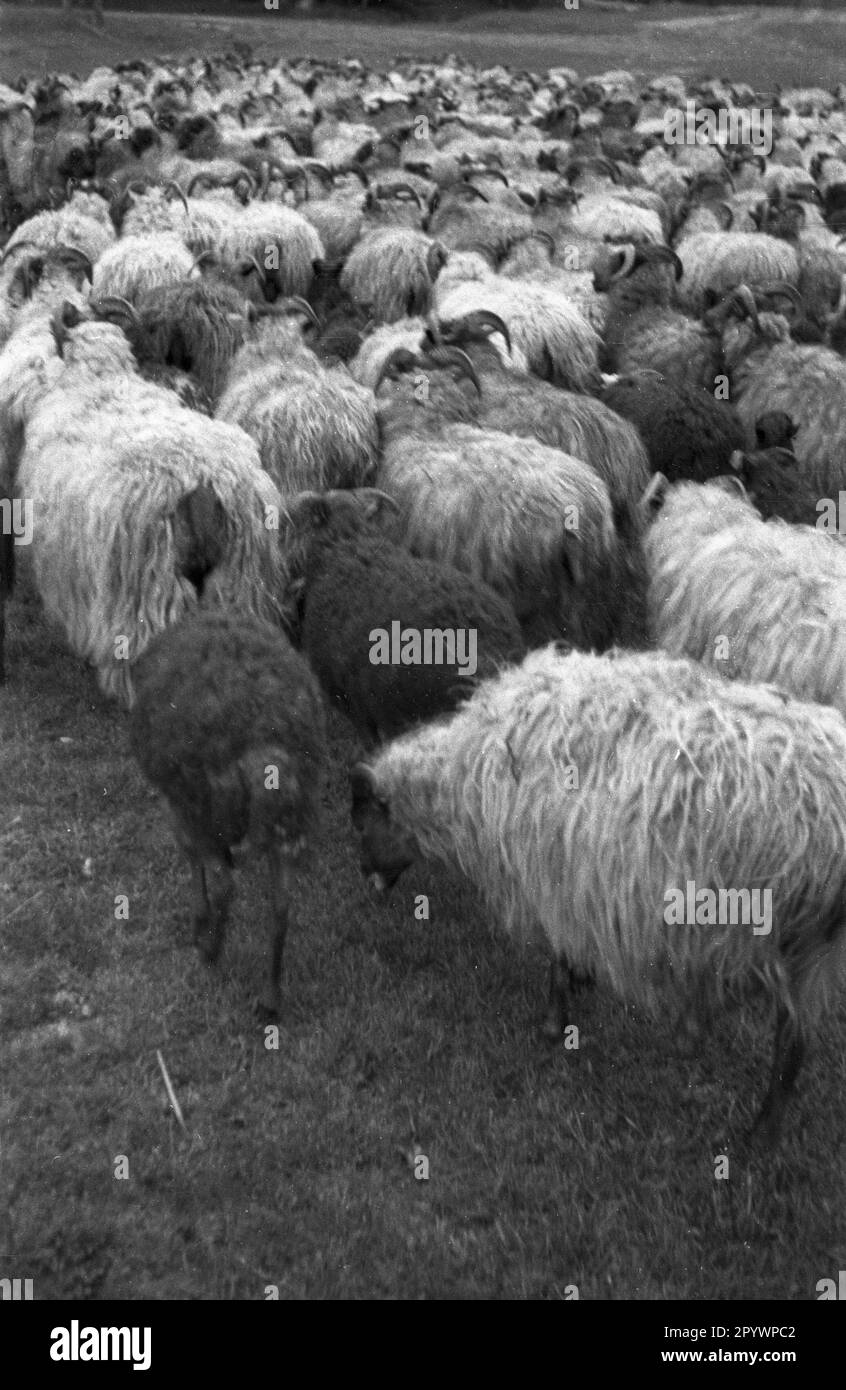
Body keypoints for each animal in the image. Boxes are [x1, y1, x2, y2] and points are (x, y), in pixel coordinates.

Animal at [130, 614, 325, 1017]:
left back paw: (210, 950)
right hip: (288, 827)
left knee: (224, 882)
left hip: (207, 810)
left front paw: (198, 923)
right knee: (281, 906)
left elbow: (192, 861)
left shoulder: (178, 808)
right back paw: (270, 997)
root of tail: (267, 756)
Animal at [351, 644, 846, 1145]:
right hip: (811, 946)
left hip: (790, 936)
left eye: (361, 823)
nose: (364, 873)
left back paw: (760, 1132)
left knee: (792, 1039)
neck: (462, 778)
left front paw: (554, 1024)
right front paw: (581, 981)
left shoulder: (552, 875)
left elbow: (557, 955)